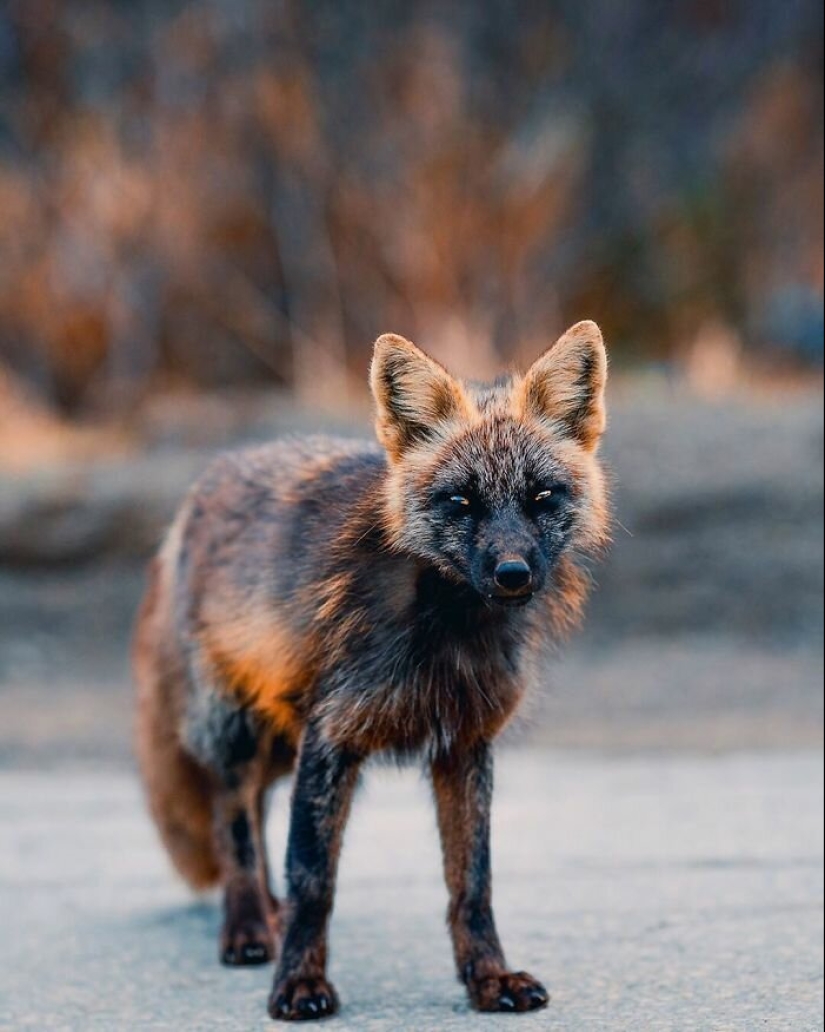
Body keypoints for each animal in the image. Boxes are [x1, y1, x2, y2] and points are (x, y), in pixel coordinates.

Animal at [133, 320, 610, 1022]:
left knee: (256, 814)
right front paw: (298, 984)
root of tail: (206, 481)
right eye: (461, 501)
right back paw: (248, 927)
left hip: (281, 740)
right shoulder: (331, 737)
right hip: (240, 731)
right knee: (234, 823)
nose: (513, 574)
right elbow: (313, 880)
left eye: (541, 497)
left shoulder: (465, 744)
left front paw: (487, 978)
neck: (444, 634)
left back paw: (265, 914)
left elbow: (472, 884)